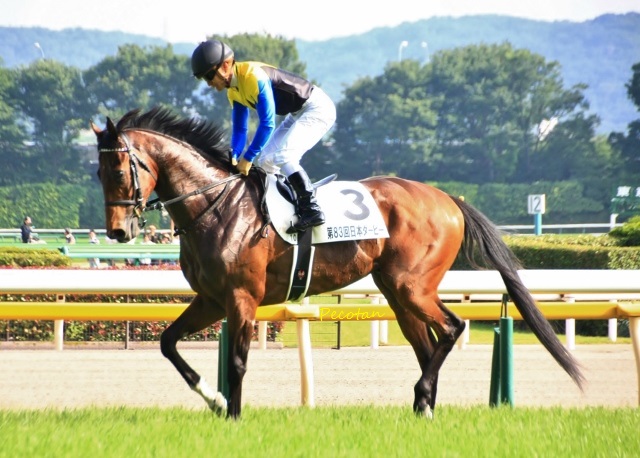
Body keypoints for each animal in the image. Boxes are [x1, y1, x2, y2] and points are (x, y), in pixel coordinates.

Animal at [91, 106, 584, 419]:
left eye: (118, 171)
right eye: (97, 173)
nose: (119, 233)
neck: (215, 205)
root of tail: (449, 200)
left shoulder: (241, 298)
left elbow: (237, 361)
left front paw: (233, 414)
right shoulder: (210, 299)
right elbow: (168, 343)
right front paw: (213, 400)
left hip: (411, 286)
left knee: (452, 328)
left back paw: (422, 397)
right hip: (397, 291)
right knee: (428, 344)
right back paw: (423, 409)